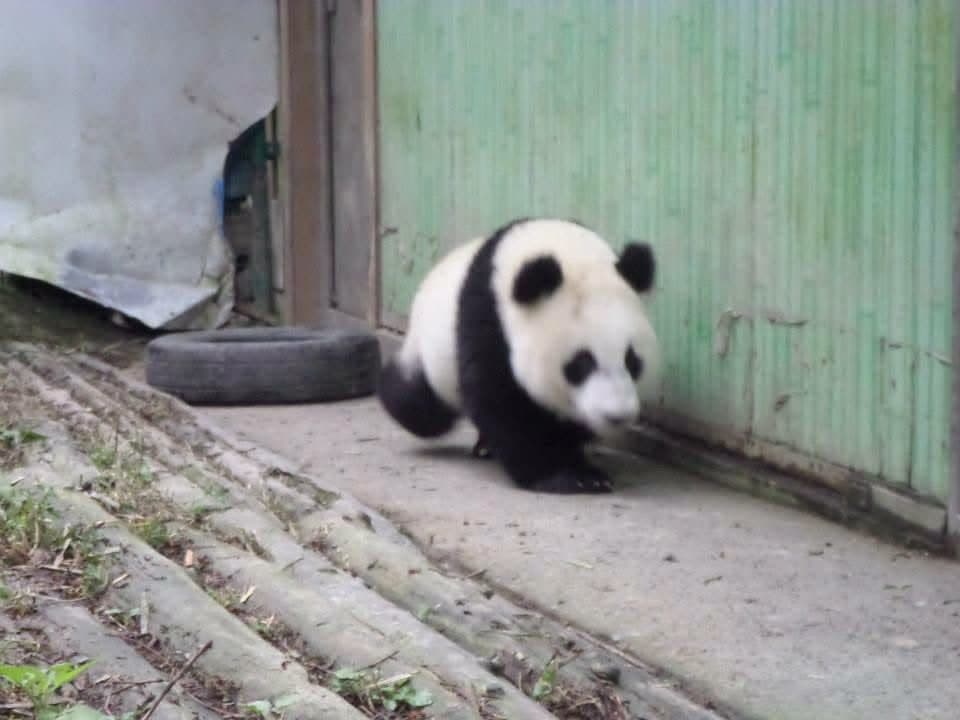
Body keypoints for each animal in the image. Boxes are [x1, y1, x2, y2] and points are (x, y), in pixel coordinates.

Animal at [377, 217, 660, 494]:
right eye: (581, 363)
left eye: (632, 361)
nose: (617, 416)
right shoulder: (488, 321)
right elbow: (504, 404)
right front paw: (570, 476)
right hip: (432, 354)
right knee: (420, 406)